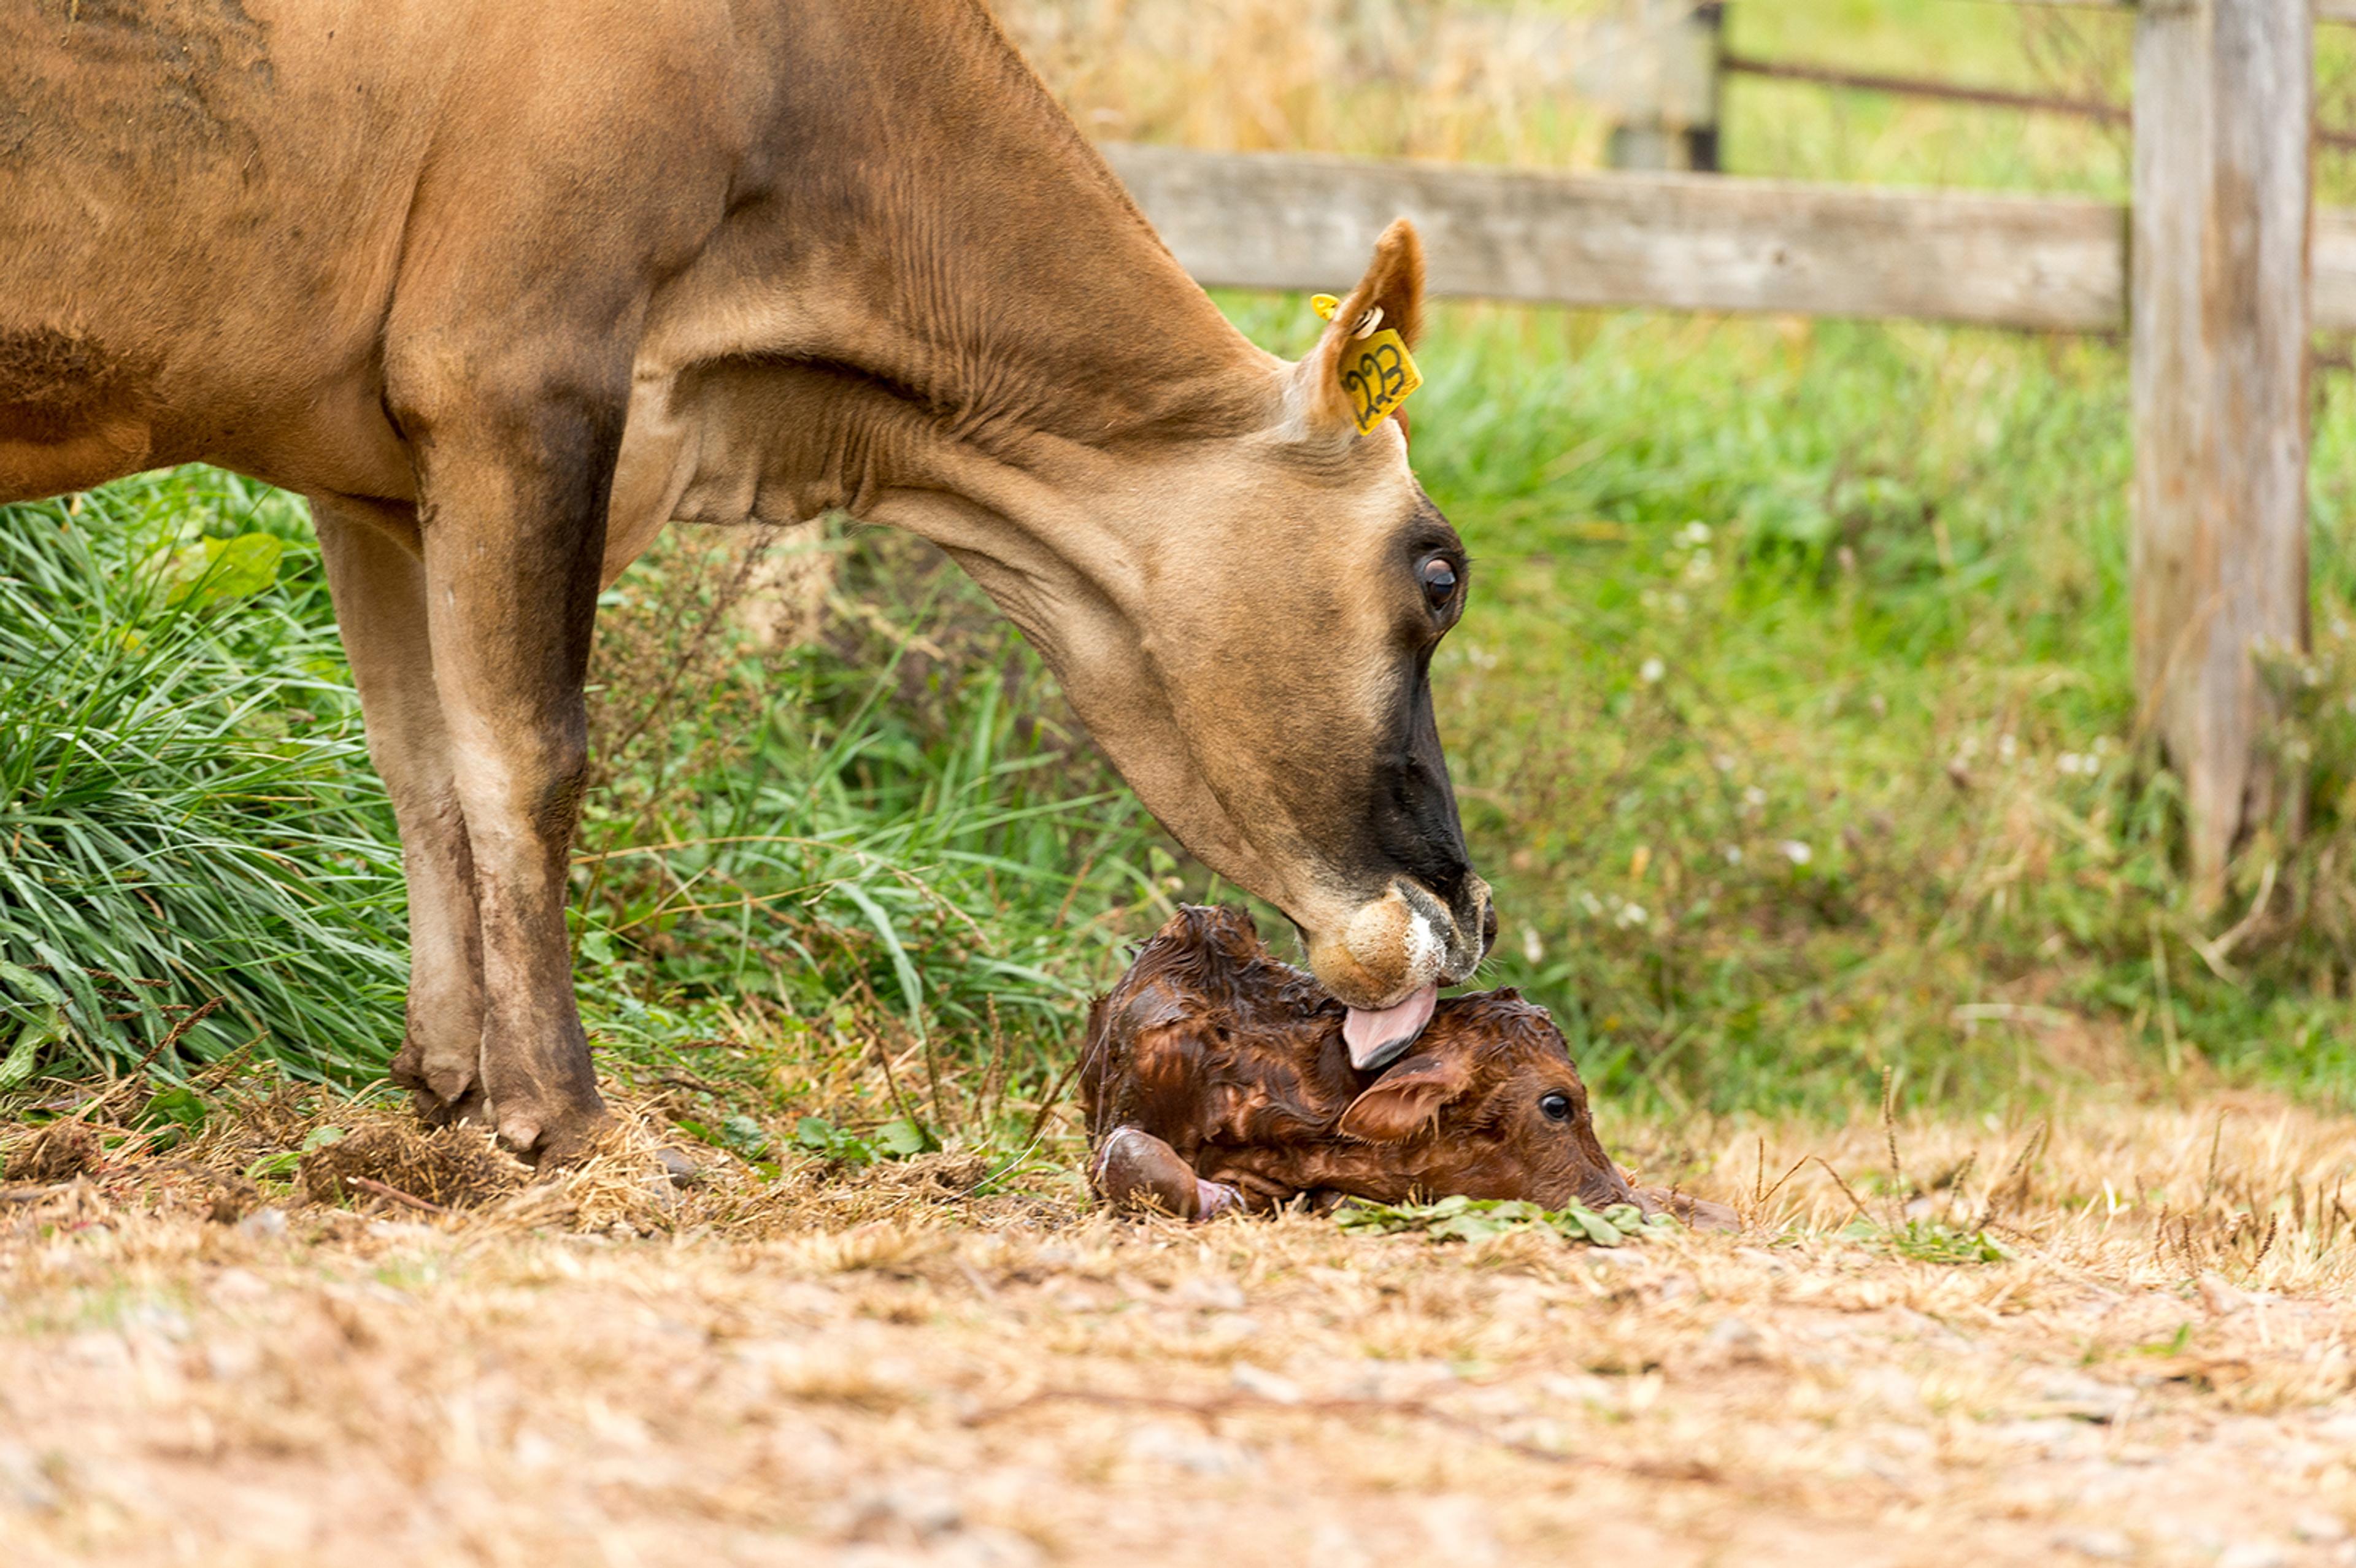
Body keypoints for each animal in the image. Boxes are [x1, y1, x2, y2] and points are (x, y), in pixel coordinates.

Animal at [1, 0, 1493, 1161]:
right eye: (1440, 575)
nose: (1471, 915)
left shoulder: (365, 477)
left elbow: (422, 766)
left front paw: (445, 1088)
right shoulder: (516, 371)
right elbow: (530, 756)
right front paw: (562, 1113)